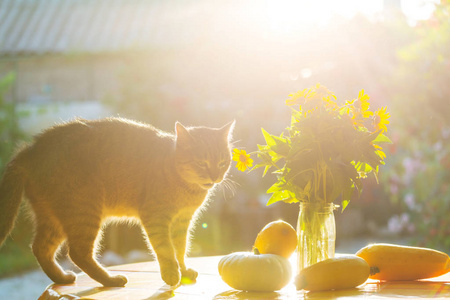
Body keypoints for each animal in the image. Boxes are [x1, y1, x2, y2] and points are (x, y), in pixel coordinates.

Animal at [0, 116, 234, 286]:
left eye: (223, 162)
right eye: (202, 163)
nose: (215, 176)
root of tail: (30, 148)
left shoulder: (181, 222)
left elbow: (180, 248)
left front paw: (183, 270)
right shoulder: (156, 218)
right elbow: (166, 248)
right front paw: (171, 274)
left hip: (55, 220)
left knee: (40, 248)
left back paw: (62, 278)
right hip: (84, 212)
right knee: (77, 253)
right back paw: (110, 280)